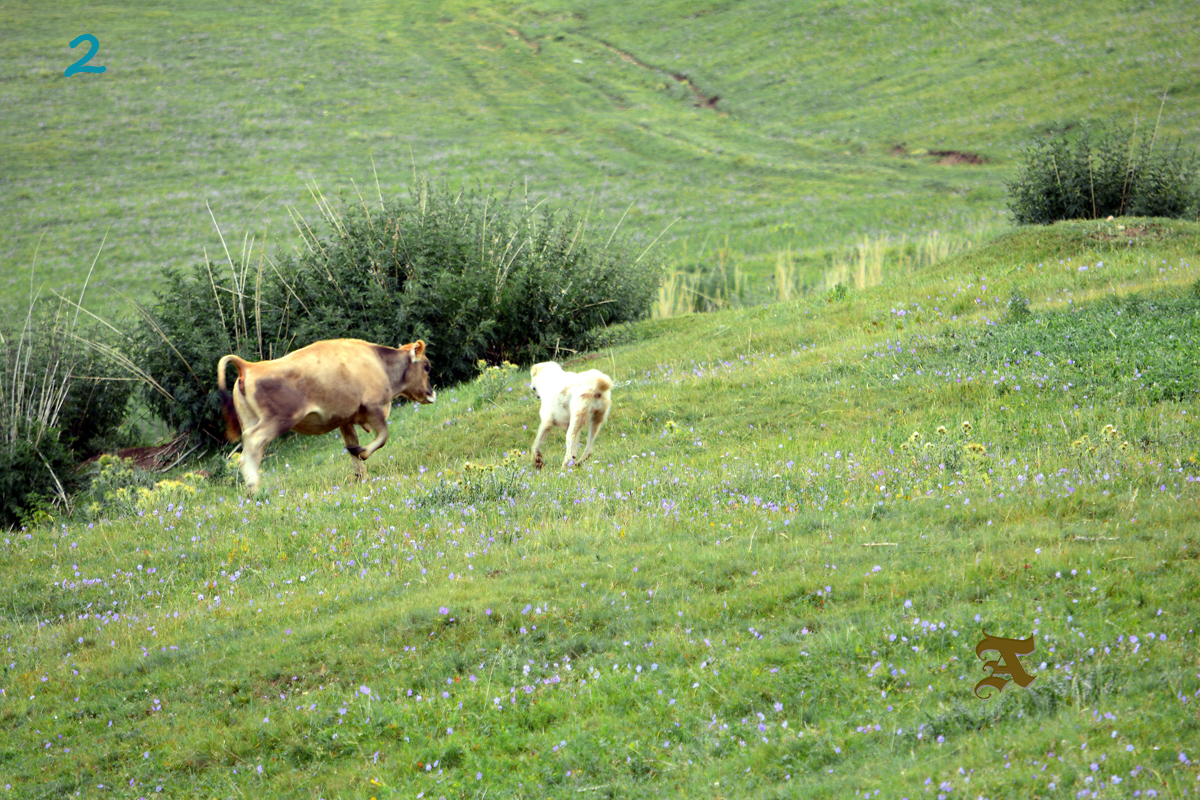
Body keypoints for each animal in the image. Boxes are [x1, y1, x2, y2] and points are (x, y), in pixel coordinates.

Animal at [219, 338, 436, 494]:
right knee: (252, 446)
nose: (431, 393)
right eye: (427, 367)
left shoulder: (345, 420)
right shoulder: (373, 407)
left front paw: (362, 477)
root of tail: (249, 366)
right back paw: (254, 490)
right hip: (278, 420)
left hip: (250, 420)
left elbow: (352, 447)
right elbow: (382, 437)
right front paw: (363, 453)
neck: (379, 363)